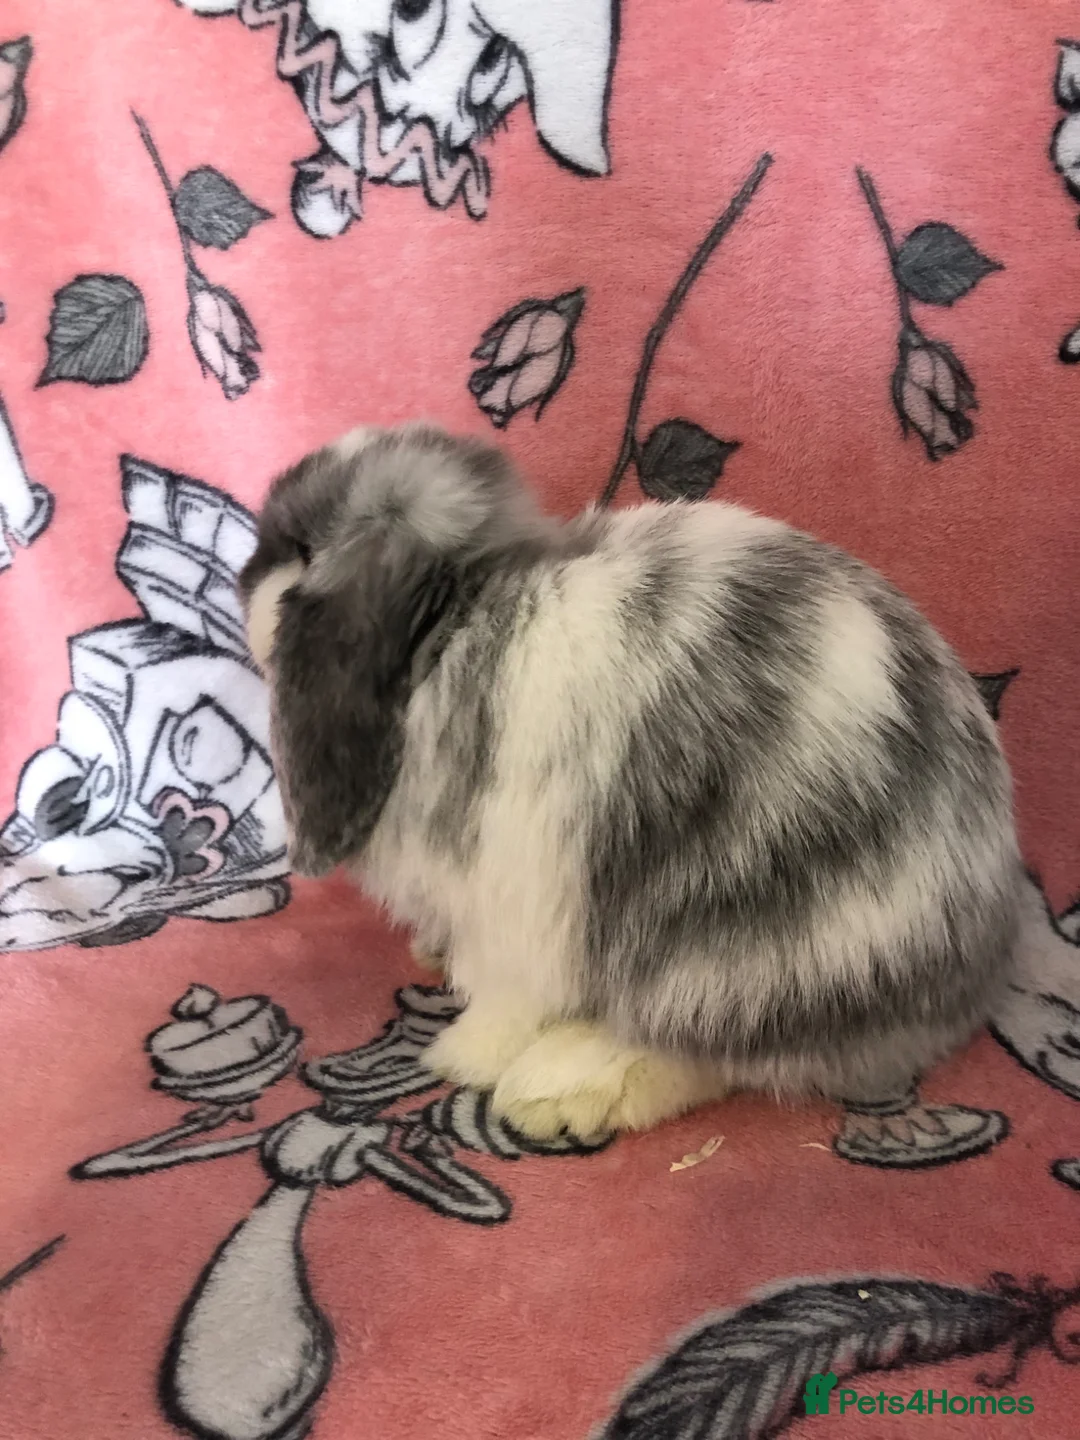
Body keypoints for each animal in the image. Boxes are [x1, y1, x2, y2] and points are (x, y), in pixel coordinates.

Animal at [238, 421, 1023, 1142]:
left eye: (298, 549)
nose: (243, 579)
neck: (452, 625)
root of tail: (975, 970)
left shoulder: (513, 909)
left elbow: (505, 1001)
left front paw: (459, 1058)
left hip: (733, 966)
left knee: (714, 1055)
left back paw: (563, 1087)